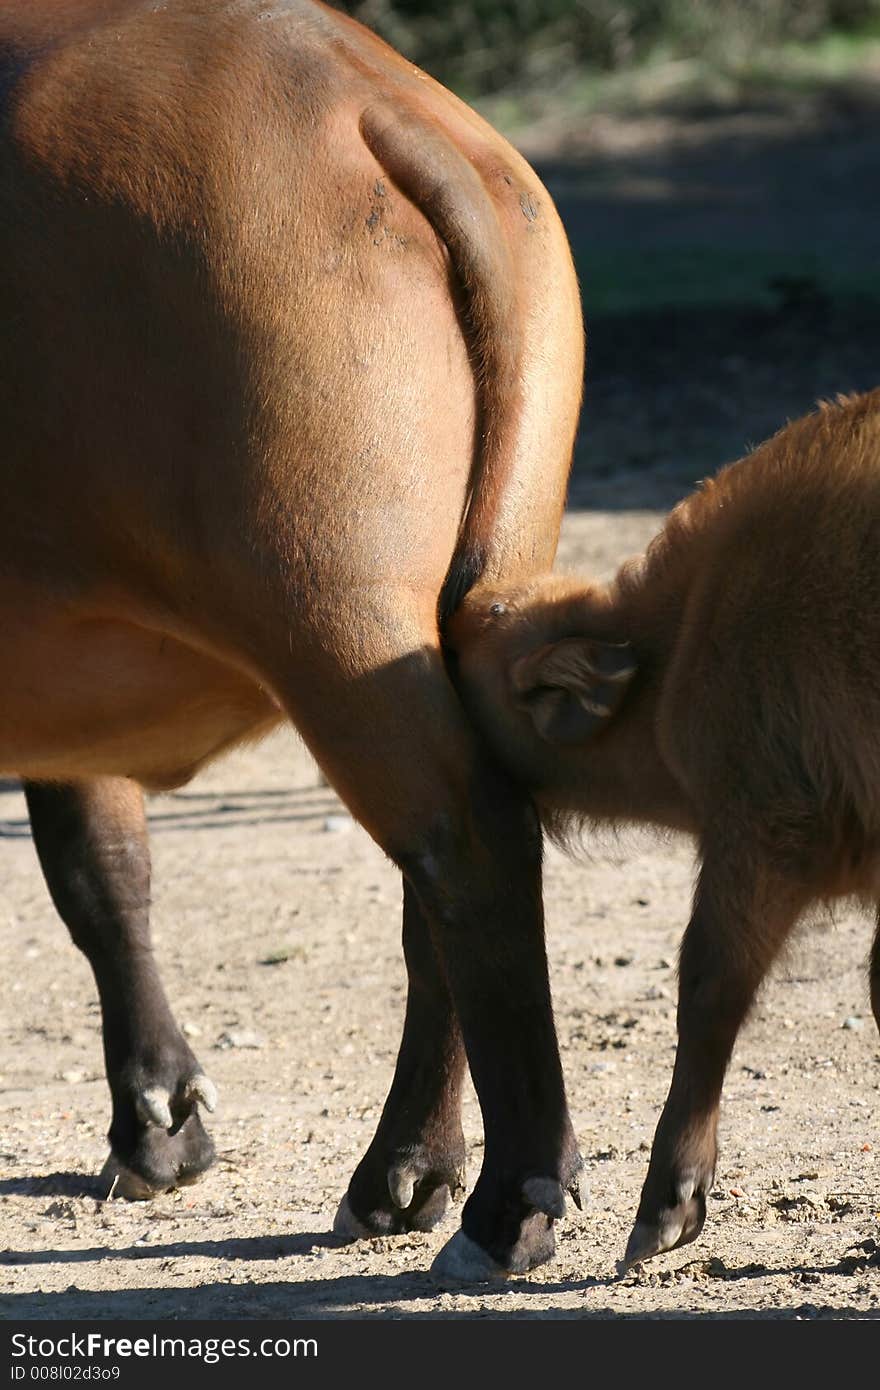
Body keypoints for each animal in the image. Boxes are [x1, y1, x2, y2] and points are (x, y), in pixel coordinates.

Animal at [3, 0, 586, 1278]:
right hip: (466, 602)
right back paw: (407, 1171)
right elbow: (100, 871)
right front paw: (159, 1123)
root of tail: (367, 95)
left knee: (468, 849)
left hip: (336, 631)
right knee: (442, 877)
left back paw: (502, 1202)